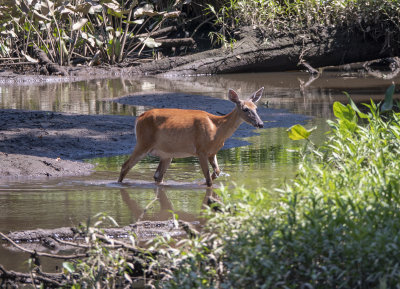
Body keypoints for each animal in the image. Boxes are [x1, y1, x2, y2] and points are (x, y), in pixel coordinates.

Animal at [117, 87, 264, 187]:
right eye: (245, 109)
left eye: (256, 108)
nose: (261, 124)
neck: (217, 129)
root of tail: (139, 118)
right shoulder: (201, 150)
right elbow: (208, 179)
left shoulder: (213, 152)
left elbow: (217, 171)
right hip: (143, 142)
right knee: (125, 165)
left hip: (166, 154)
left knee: (157, 176)